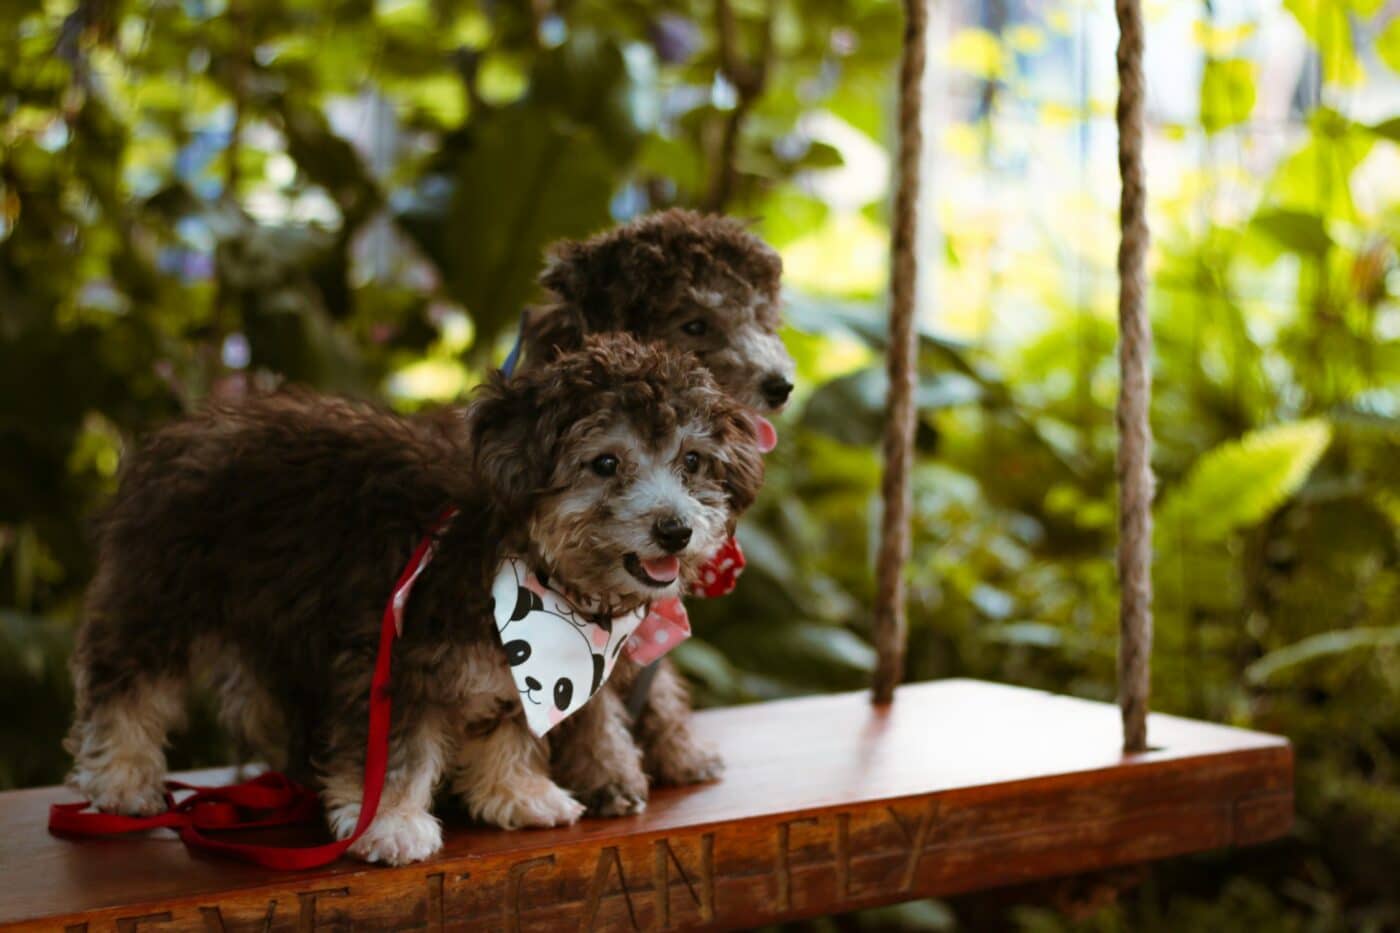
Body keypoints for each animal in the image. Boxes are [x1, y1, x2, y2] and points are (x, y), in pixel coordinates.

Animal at [63, 334, 767, 862]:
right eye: (606, 463)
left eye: (693, 462)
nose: (674, 529)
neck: (521, 559)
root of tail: (186, 428)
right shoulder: (394, 658)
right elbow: (395, 752)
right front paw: (389, 823)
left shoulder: (518, 673)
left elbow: (509, 729)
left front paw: (517, 792)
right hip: (160, 595)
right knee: (126, 684)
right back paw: (120, 778)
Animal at [520, 208, 795, 812]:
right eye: (694, 325)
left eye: (761, 318)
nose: (782, 385)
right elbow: (588, 695)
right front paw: (607, 774)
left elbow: (658, 681)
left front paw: (676, 750)